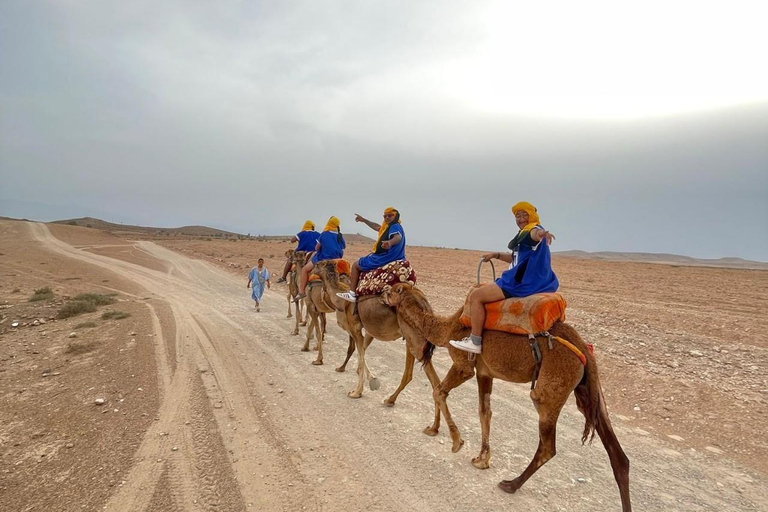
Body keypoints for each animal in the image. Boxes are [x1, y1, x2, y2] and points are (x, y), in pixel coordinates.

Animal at [308, 262, 448, 442]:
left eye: (318, 264)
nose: (310, 271)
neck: (341, 300)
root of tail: (424, 304)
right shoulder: (369, 331)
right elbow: (362, 353)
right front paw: (369, 380)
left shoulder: (355, 328)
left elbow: (360, 353)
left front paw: (356, 392)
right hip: (411, 340)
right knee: (411, 375)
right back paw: (394, 402)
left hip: (415, 342)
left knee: (434, 381)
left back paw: (432, 427)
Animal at [382, 284, 632, 512]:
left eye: (393, 289)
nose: (383, 292)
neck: (448, 328)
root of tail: (584, 349)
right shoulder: (484, 373)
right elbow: (484, 412)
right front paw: (482, 459)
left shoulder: (464, 365)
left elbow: (438, 391)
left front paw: (456, 442)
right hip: (588, 389)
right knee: (618, 455)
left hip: (551, 388)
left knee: (547, 446)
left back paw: (511, 484)